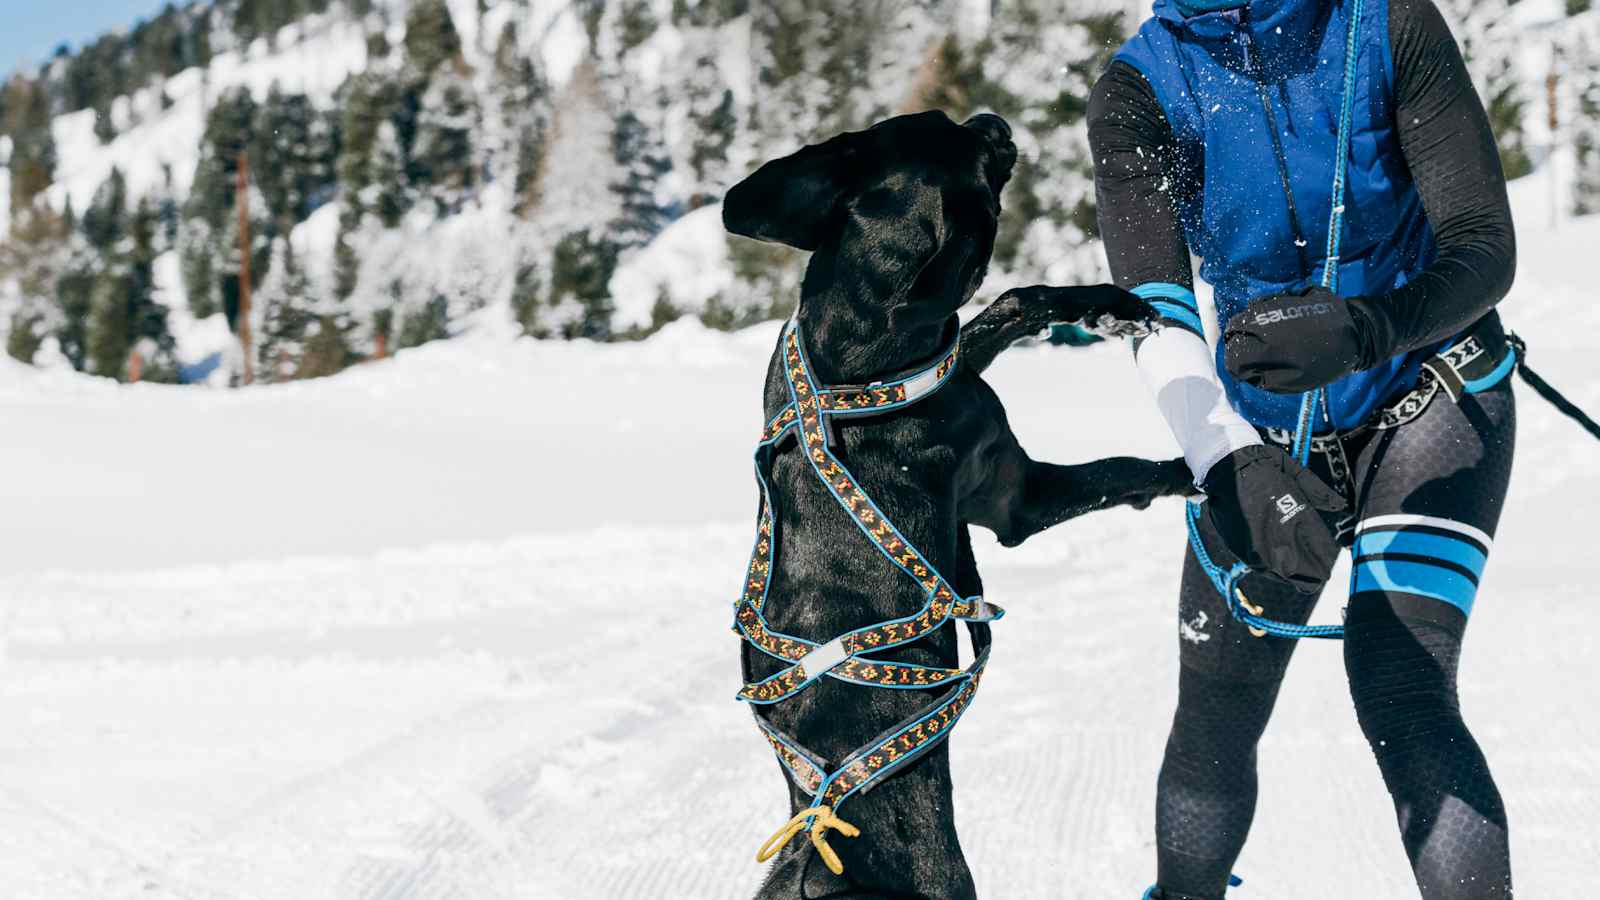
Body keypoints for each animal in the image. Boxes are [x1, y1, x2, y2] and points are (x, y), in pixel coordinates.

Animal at [726, 112, 1190, 896]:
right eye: (964, 147)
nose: (993, 120)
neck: (860, 361)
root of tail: (818, 834)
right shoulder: (1015, 498)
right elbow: (1120, 467)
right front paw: (1199, 470)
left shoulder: (957, 362)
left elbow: (1015, 300)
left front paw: (1109, 305)